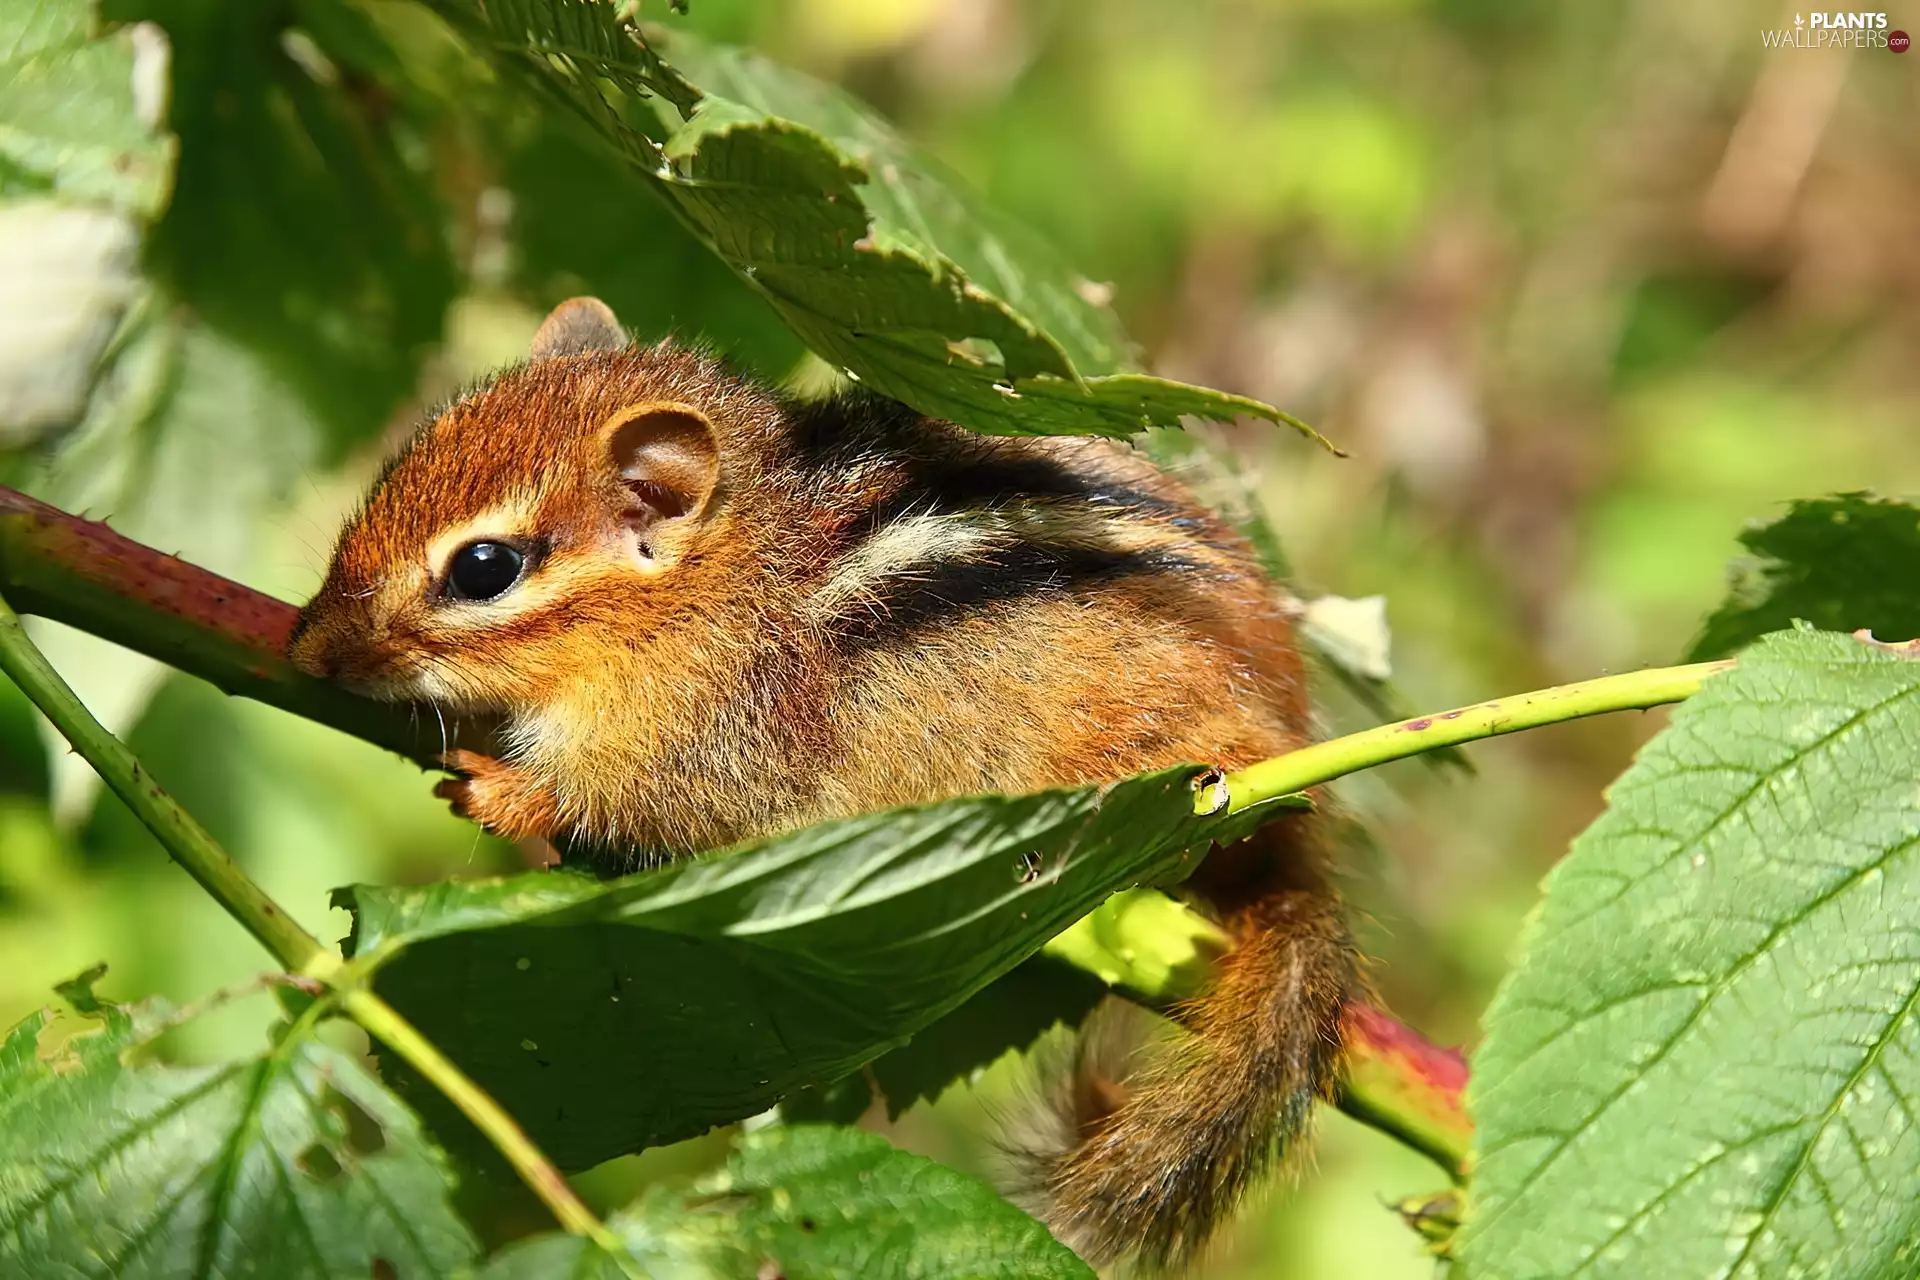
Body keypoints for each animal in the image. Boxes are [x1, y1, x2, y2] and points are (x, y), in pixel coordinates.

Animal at [289, 297, 1360, 1272]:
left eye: (484, 567)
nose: (305, 647)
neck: (722, 578)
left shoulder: (719, 740)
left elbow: (654, 806)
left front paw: (509, 794)